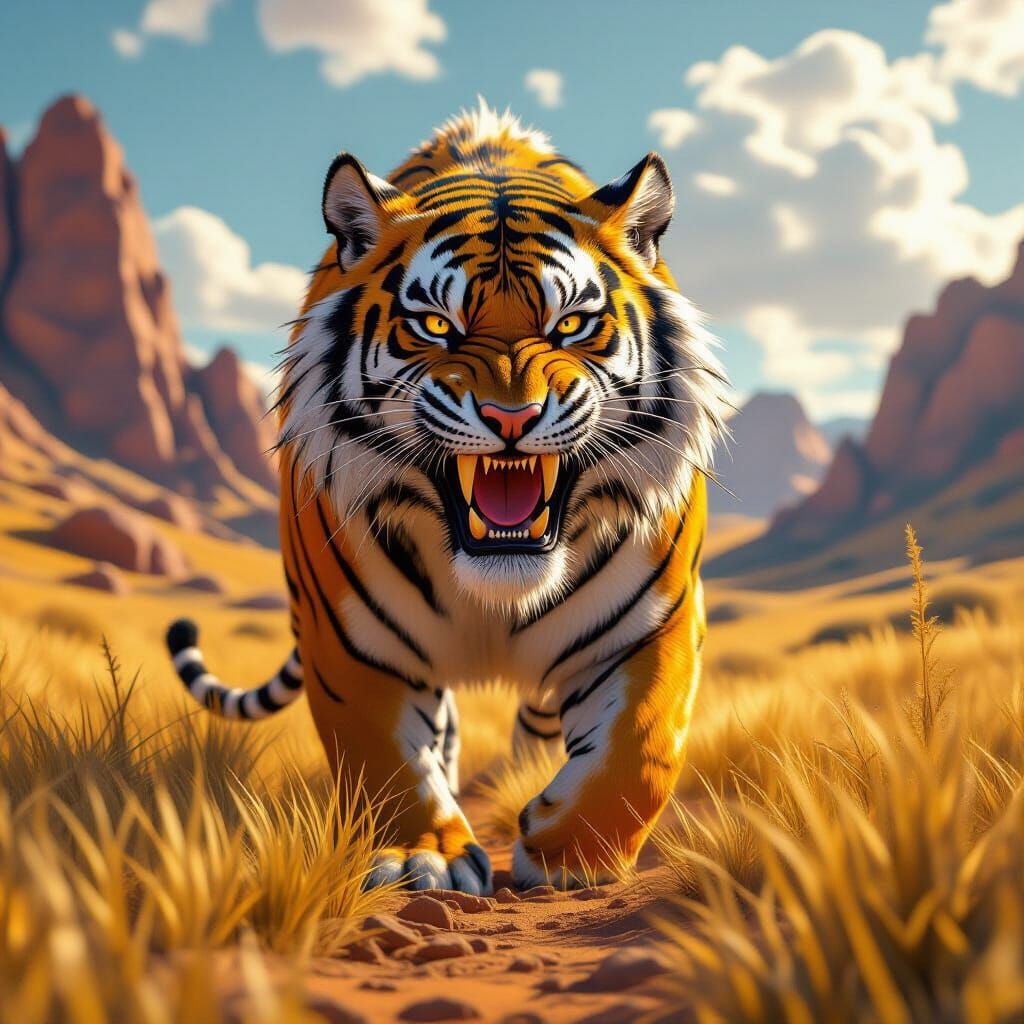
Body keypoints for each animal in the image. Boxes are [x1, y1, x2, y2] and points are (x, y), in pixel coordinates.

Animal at [165, 101, 727, 895]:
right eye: (436, 325)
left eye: (570, 325)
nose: (511, 417)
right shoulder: (349, 639)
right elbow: (383, 757)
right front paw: (419, 856)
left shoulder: (656, 621)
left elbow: (641, 745)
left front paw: (570, 852)